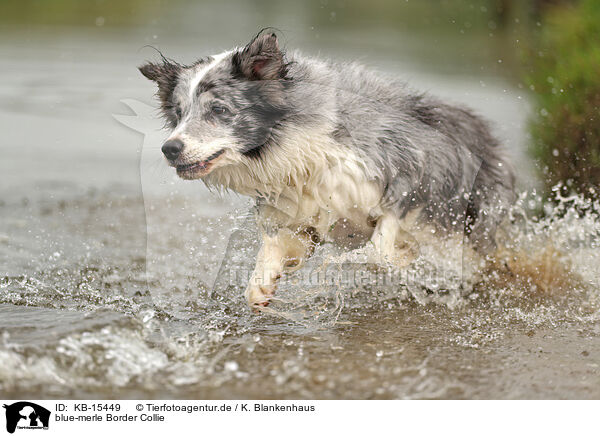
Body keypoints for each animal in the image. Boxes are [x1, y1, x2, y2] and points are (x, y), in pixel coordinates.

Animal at [138, 31, 512, 306]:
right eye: (178, 113)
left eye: (218, 109)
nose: (170, 149)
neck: (305, 150)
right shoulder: (297, 211)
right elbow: (273, 248)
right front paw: (262, 284)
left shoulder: (404, 179)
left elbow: (378, 249)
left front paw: (384, 262)